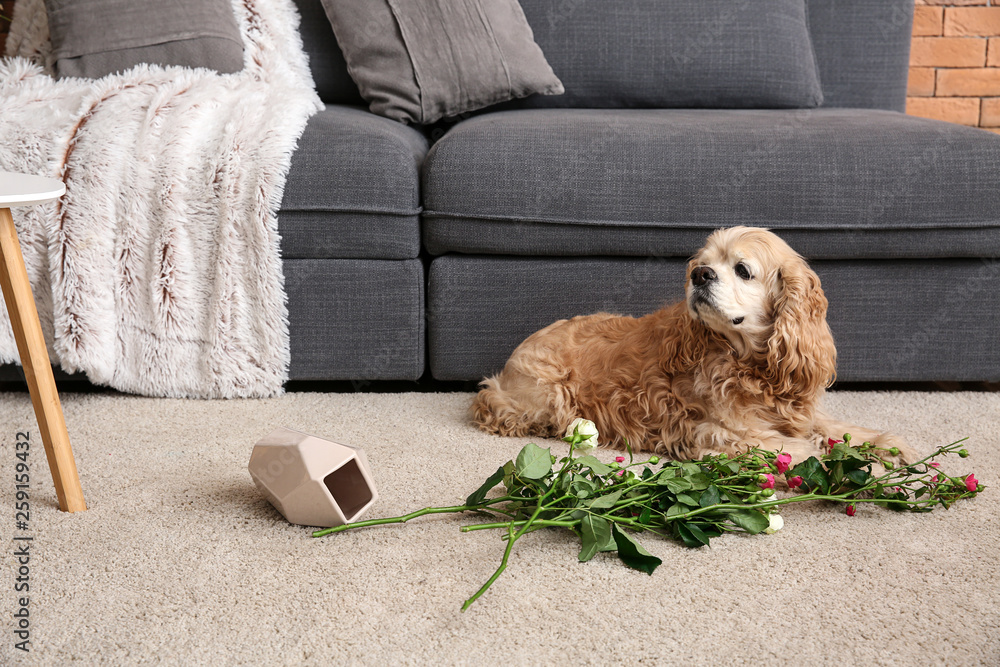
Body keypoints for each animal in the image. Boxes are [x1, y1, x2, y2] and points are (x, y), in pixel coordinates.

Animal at [468, 227, 916, 468]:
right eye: (703, 263)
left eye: (742, 270)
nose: (700, 275)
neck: (751, 365)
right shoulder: (719, 434)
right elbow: (807, 452)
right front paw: (864, 472)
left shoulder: (797, 413)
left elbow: (837, 430)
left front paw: (892, 448)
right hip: (548, 395)